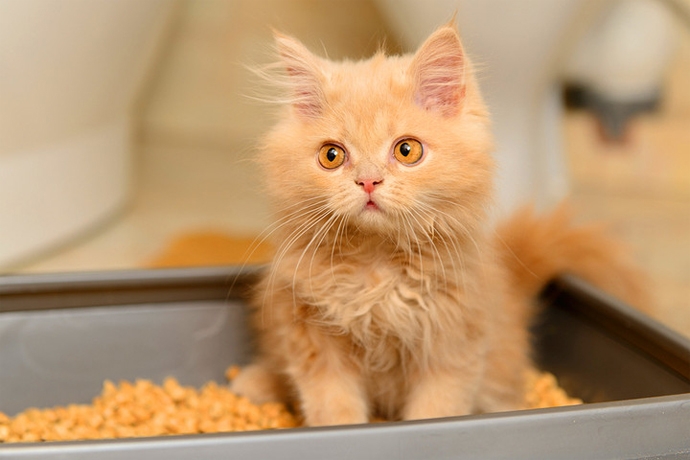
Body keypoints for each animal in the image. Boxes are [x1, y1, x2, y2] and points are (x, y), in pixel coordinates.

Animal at [231, 21, 644, 424]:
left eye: (406, 150)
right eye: (331, 156)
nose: (368, 181)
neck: (377, 267)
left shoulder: (453, 346)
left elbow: (436, 410)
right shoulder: (312, 339)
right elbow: (334, 410)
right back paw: (254, 383)